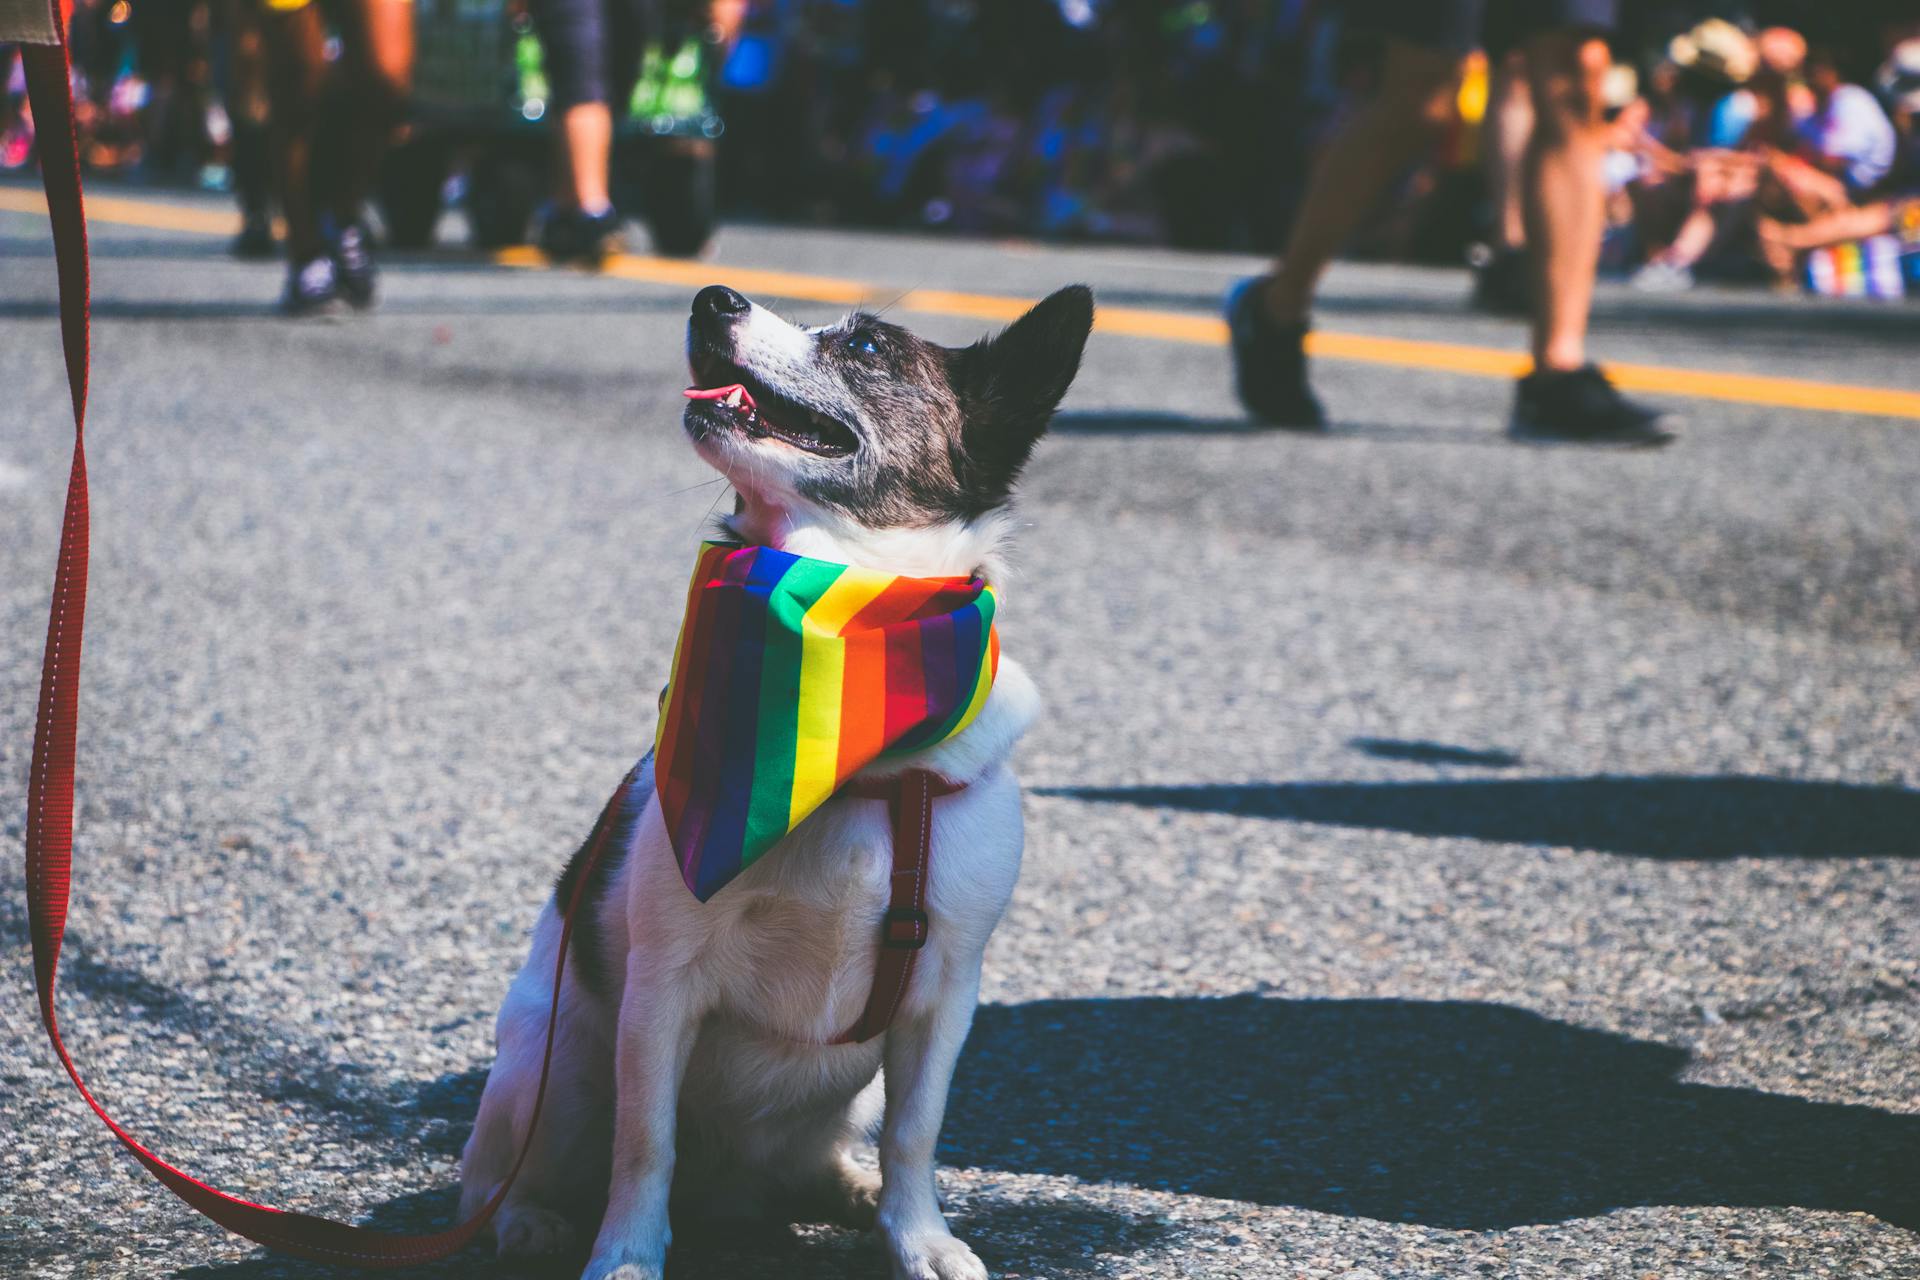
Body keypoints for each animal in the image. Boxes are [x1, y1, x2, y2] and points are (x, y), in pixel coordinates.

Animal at [456, 282, 1098, 1280]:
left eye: (866, 346)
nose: (710, 297)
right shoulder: (662, 992)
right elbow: (644, 1141)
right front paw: (628, 1255)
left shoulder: (943, 998)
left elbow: (916, 1134)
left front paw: (918, 1236)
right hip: (551, 1065)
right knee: (501, 1176)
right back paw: (529, 1223)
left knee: (834, 1150)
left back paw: (850, 1191)